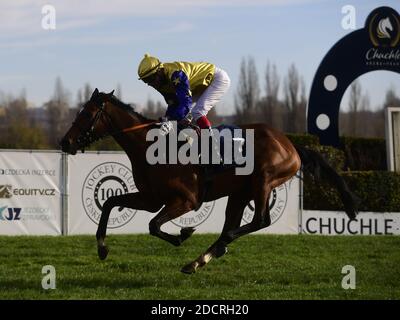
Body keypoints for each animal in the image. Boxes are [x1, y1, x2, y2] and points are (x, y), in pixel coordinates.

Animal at [61, 89, 358, 274]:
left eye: (86, 114)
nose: (65, 142)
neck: (153, 147)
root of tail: (291, 145)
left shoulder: (186, 200)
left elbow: (154, 225)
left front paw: (183, 234)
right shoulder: (150, 198)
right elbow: (110, 203)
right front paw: (102, 249)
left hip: (264, 179)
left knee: (260, 221)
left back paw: (211, 250)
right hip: (240, 193)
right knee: (235, 224)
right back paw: (200, 260)